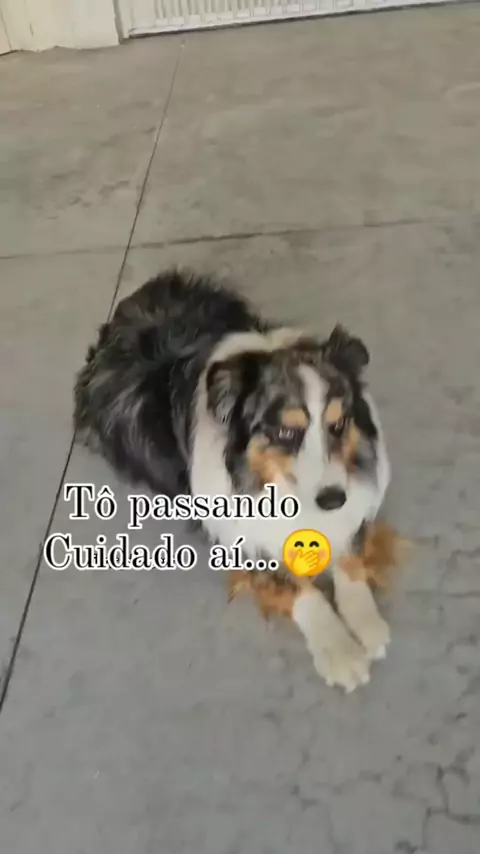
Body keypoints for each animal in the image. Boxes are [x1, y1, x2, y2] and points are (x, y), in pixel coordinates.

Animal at [74, 268, 398, 692]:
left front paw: (366, 624)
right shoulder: (239, 539)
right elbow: (299, 589)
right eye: (286, 433)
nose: (332, 499)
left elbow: (349, 556)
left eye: (339, 425)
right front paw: (340, 653)